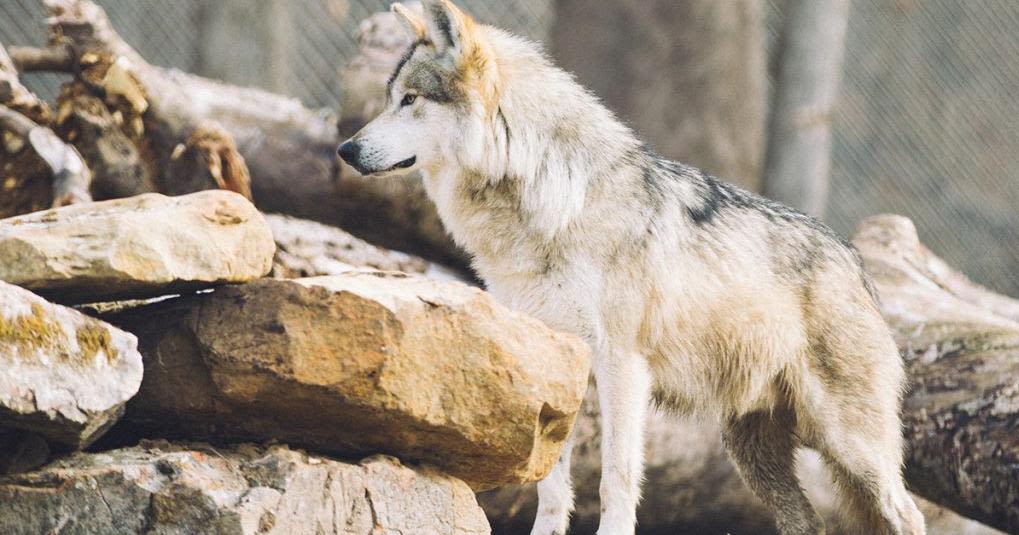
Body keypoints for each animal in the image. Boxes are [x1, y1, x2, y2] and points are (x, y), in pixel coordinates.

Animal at [338, 2, 929, 529]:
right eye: (389, 99)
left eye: (410, 100)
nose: (345, 149)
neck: (553, 200)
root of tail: (856, 262)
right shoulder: (557, 365)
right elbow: (551, 486)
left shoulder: (621, 363)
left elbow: (615, 480)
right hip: (754, 453)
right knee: (808, 521)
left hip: (850, 447)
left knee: (909, 513)